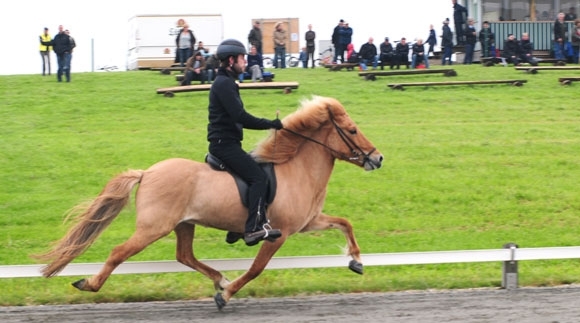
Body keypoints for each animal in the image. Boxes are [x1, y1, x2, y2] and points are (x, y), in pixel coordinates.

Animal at [34, 95, 382, 308]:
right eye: (352, 130)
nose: (377, 158)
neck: (295, 169)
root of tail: (147, 172)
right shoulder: (277, 234)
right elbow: (256, 269)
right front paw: (225, 296)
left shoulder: (309, 223)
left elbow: (345, 223)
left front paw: (356, 261)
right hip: (153, 228)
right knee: (120, 252)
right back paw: (89, 284)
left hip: (184, 224)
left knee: (184, 255)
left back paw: (218, 278)